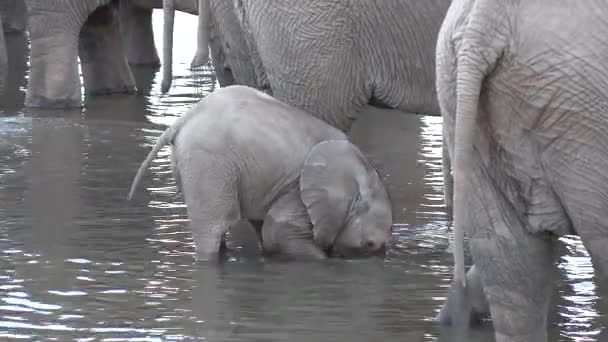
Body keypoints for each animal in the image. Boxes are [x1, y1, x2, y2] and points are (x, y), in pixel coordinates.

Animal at [130, 85, 392, 260]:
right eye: (370, 244)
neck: (361, 172)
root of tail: (183, 119)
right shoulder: (297, 188)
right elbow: (277, 230)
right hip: (208, 163)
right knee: (212, 229)